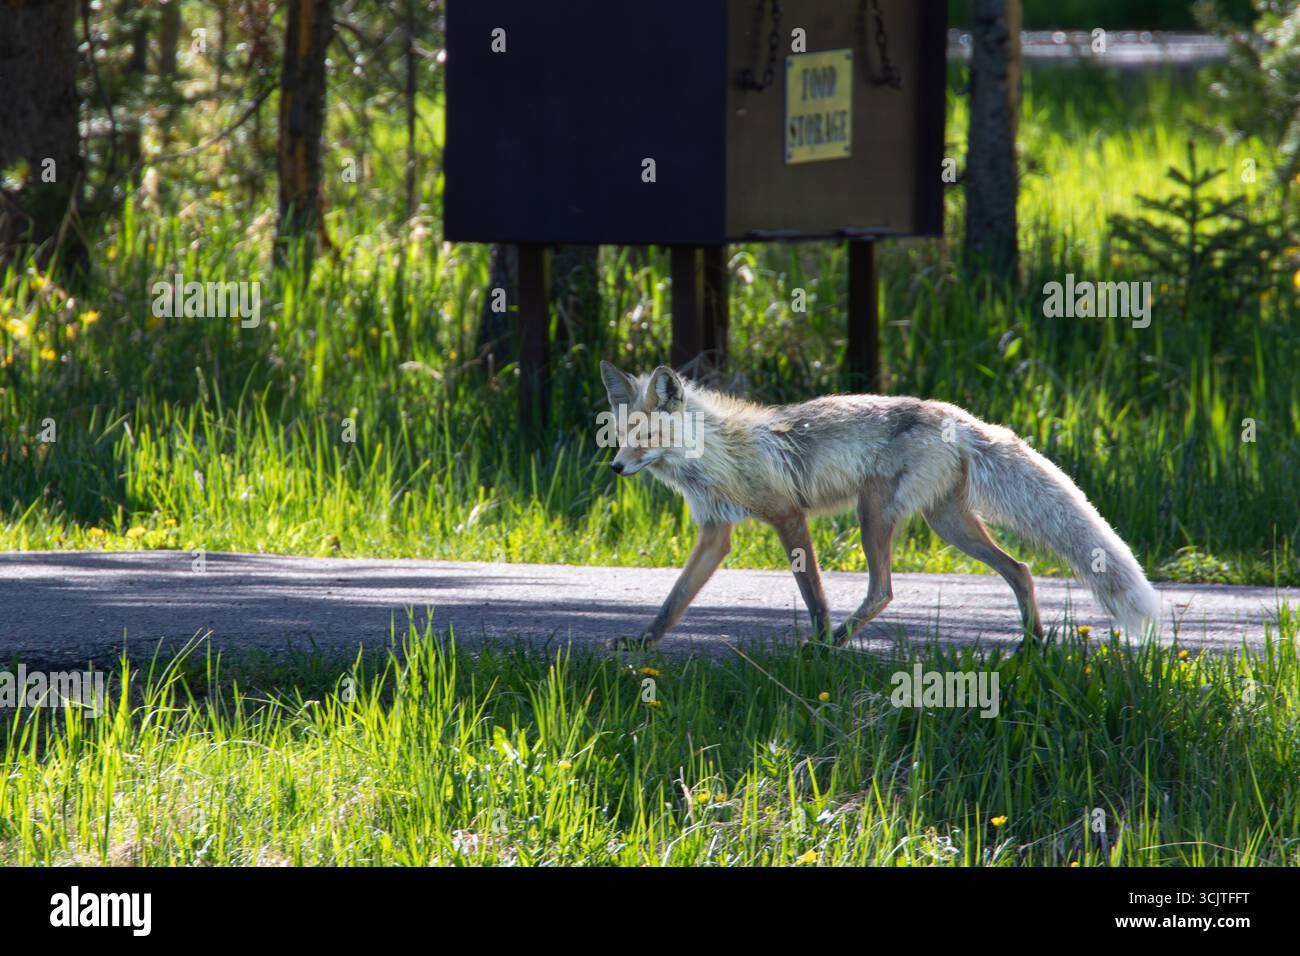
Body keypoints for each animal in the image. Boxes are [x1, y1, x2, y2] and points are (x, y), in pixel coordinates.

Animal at [599, 361, 1161, 649]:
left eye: (644, 437)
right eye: (621, 436)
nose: (616, 468)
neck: (718, 456)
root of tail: (954, 415)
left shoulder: (787, 515)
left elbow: (814, 595)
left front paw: (817, 643)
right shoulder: (716, 533)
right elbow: (674, 600)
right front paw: (643, 642)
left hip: (874, 514)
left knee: (884, 591)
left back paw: (835, 641)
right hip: (947, 523)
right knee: (1020, 569)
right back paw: (1033, 645)